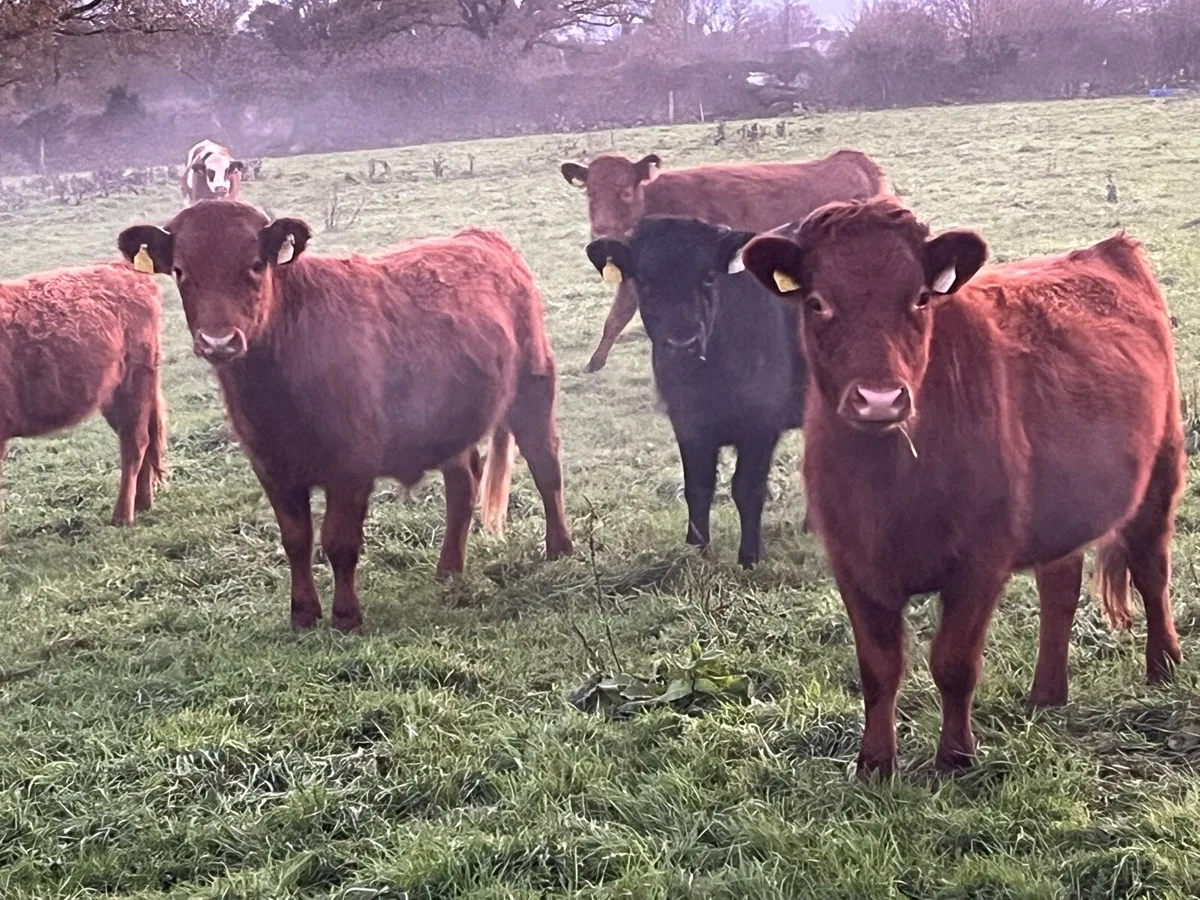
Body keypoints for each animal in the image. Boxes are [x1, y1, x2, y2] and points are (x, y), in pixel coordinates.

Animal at [0, 263, 166, 526]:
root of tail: (122, 266)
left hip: (135, 383)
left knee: (135, 442)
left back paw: (122, 516)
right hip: (115, 395)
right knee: (142, 440)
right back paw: (142, 504)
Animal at [117, 201, 574, 632]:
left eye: (256, 264)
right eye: (180, 271)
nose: (219, 341)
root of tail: (481, 237)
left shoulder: (351, 467)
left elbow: (339, 541)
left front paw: (345, 616)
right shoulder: (271, 467)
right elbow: (296, 540)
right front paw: (302, 615)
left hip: (533, 389)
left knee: (545, 467)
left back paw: (560, 549)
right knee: (463, 485)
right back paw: (448, 571)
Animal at [561, 149, 885, 373]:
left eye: (625, 192)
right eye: (590, 193)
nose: (601, 231)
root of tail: (852, 160)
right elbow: (616, 318)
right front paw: (595, 363)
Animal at [585, 216, 807, 567]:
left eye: (709, 276)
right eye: (644, 280)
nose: (682, 343)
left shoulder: (761, 424)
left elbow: (747, 488)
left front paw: (748, 558)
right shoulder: (686, 421)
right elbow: (698, 487)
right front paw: (696, 550)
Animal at [740, 197, 1184, 779]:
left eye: (919, 297)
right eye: (817, 303)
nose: (879, 400)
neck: (887, 488)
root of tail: (1107, 249)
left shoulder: (979, 562)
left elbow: (953, 662)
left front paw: (954, 758)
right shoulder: (853, 564)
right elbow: (878, 668)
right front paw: (874, 764)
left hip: (1161, 471)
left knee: (1151, 571)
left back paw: (1163, 665)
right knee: (1060, 589)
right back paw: (1047, 694)